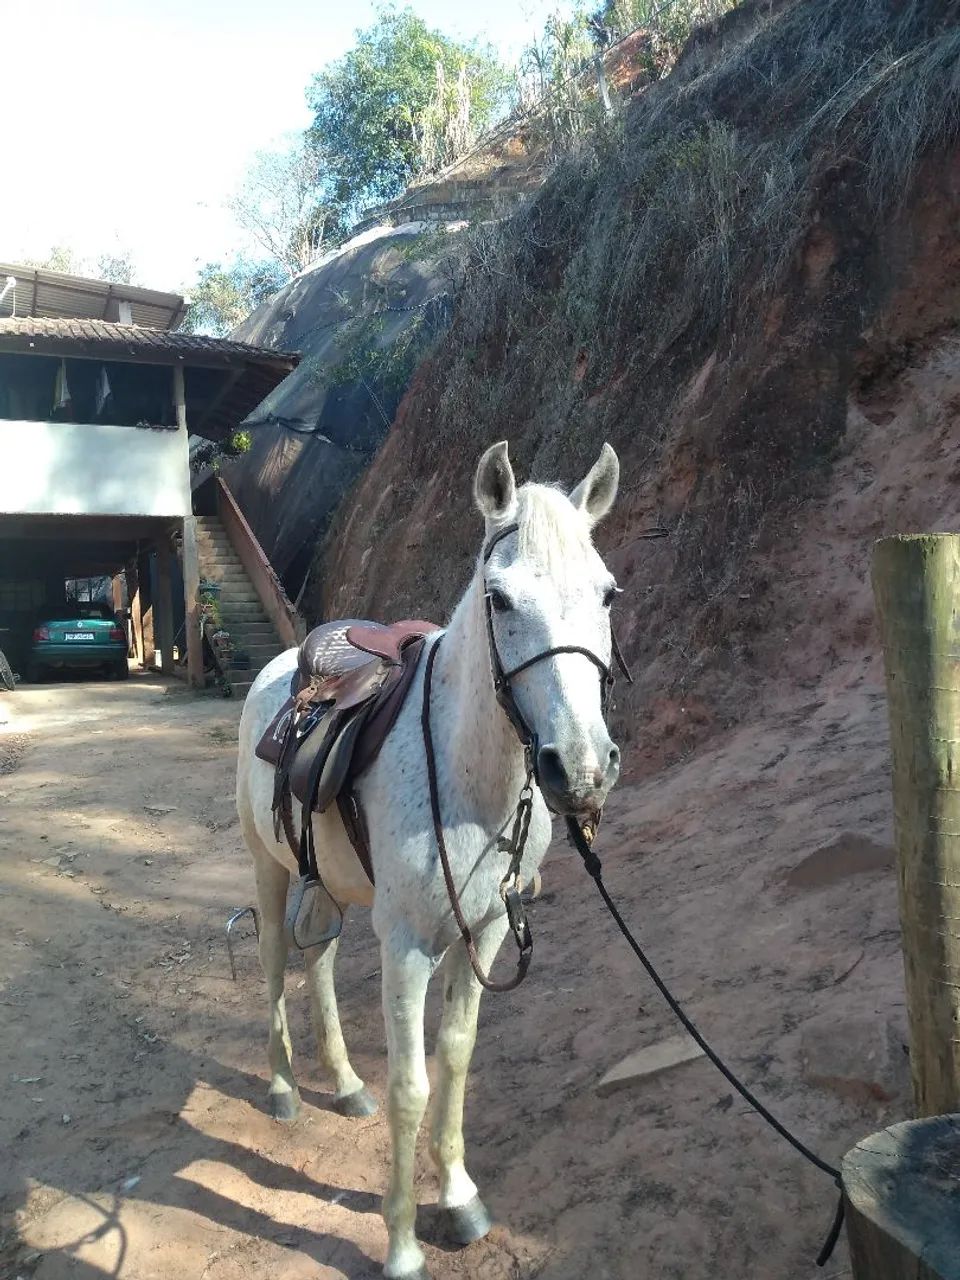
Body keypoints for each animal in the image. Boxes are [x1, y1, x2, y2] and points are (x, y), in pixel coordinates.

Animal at [236, 440, 623, 1279]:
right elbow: (412, 1085)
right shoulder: (409, 945)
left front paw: (459, 1196)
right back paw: (283, 1087)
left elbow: (456, 1060)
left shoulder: (485, 934)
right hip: (269, 865)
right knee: (277, 956)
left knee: (317, 959)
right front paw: (404, 1243)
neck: (467, 775)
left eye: (608, 594)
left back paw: (345, 1082)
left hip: (329, 884)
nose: (580, 767)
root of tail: (280, 664)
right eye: (500, 600)